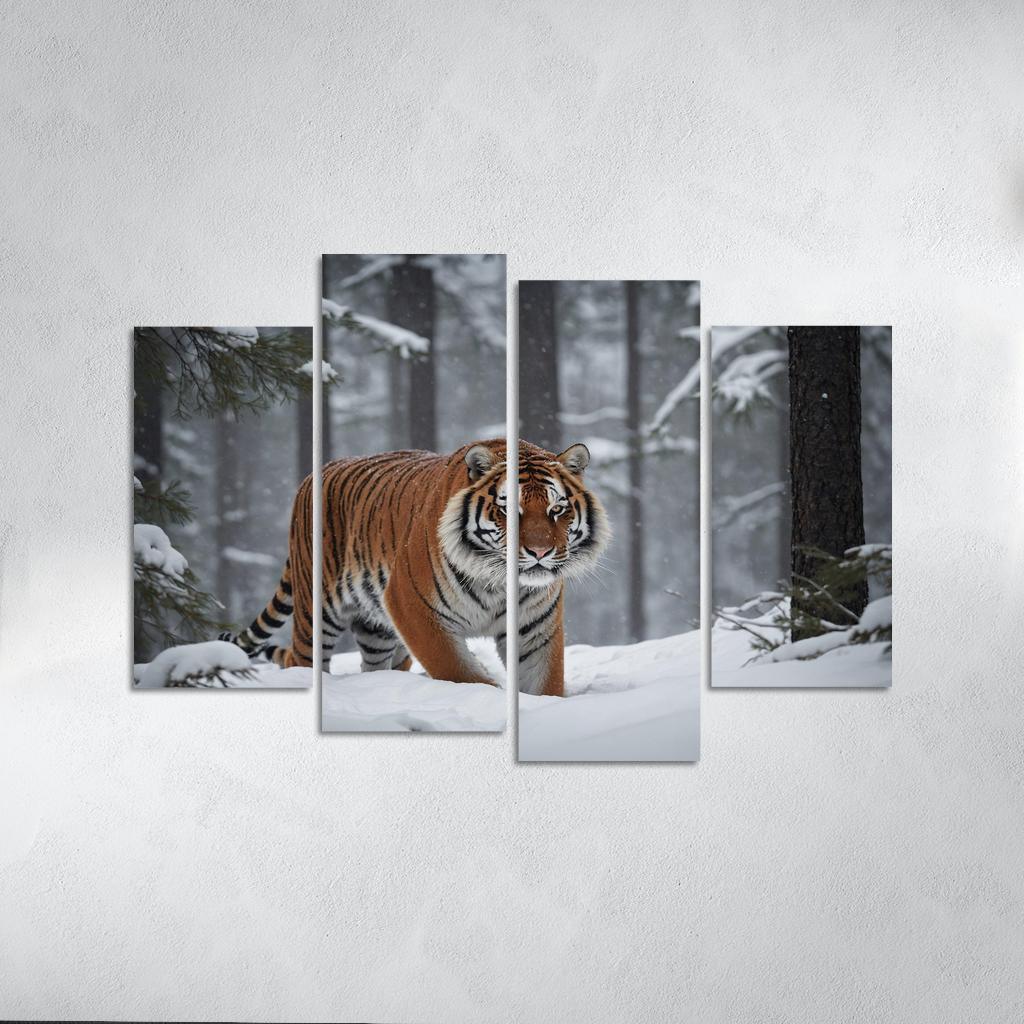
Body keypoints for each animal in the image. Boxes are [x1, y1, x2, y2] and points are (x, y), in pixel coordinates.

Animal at [221, 438, 610, 696]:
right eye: (507, 510)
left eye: (557, 509)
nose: (540, 551)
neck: (498, 582)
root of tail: (314, 474)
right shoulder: (413, 606)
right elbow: (459, 671)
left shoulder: (536, 628)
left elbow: (545, 682)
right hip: (316, 613)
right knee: (300, 658)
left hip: (378, 630)